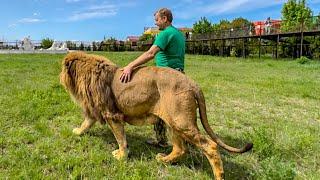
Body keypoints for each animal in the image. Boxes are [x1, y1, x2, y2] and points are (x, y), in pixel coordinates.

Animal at [58, 51, 251, 179]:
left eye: (61, 68)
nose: (59, 77)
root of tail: (193, 83)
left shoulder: (112, 114)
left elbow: (120, 138)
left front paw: (121, 156)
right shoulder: (94, 110)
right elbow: (85, 123)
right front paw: (77, 132)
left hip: (181, 122)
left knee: (210, 146)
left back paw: (217, 175)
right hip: (173, 122)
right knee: (180, 149)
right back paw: (163, 159)